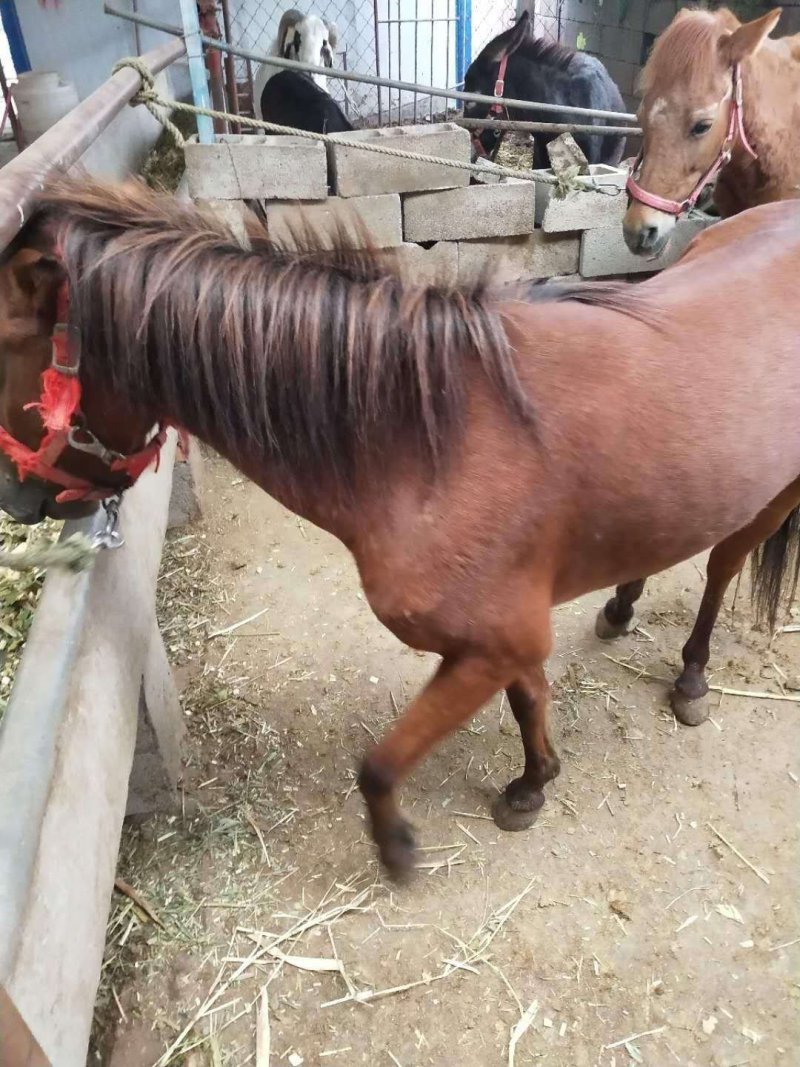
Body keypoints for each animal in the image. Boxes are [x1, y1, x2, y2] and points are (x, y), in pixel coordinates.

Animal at [1, 178, 799, 881]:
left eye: (8, 355)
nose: (18, 499)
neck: (432, 441)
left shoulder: (491, 645)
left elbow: (380, 763)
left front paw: (398, 847)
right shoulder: (506, 639)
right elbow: (530, 699)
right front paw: (535, 780)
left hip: (771, 499)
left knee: (723, 568)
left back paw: (691, 676)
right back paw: (621, 606)